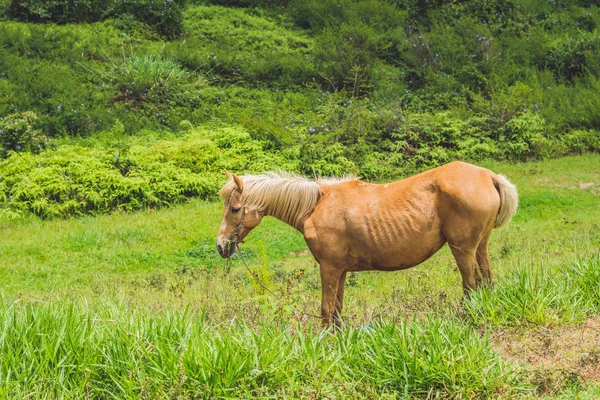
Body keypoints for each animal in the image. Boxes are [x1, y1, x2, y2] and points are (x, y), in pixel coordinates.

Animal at [218, 161, 516, 326]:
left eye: (234, 209)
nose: (221, 246)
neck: (316, 205)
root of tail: (489, 176)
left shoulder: (328, 268)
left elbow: (326, 310)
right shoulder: (340, 270)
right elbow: (337, 310)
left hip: (462, 249)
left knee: (471, 285)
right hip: (480, 246)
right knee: (486, 280)